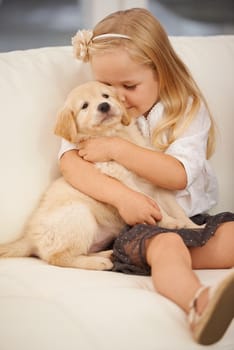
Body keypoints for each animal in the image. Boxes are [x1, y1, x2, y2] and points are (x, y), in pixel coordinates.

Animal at [0, 80, 201, 270]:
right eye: (84, 106)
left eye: (106, 95)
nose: (104, 106)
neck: (115, 134)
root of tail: (29, 238)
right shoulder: (126, 182)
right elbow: (154, 206)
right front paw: (170, 223)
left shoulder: (156, 183)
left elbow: (177, 209)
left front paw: (195, 227)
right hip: (79, 214)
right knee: (58, 257)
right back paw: (99, 263)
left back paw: (107, 254)